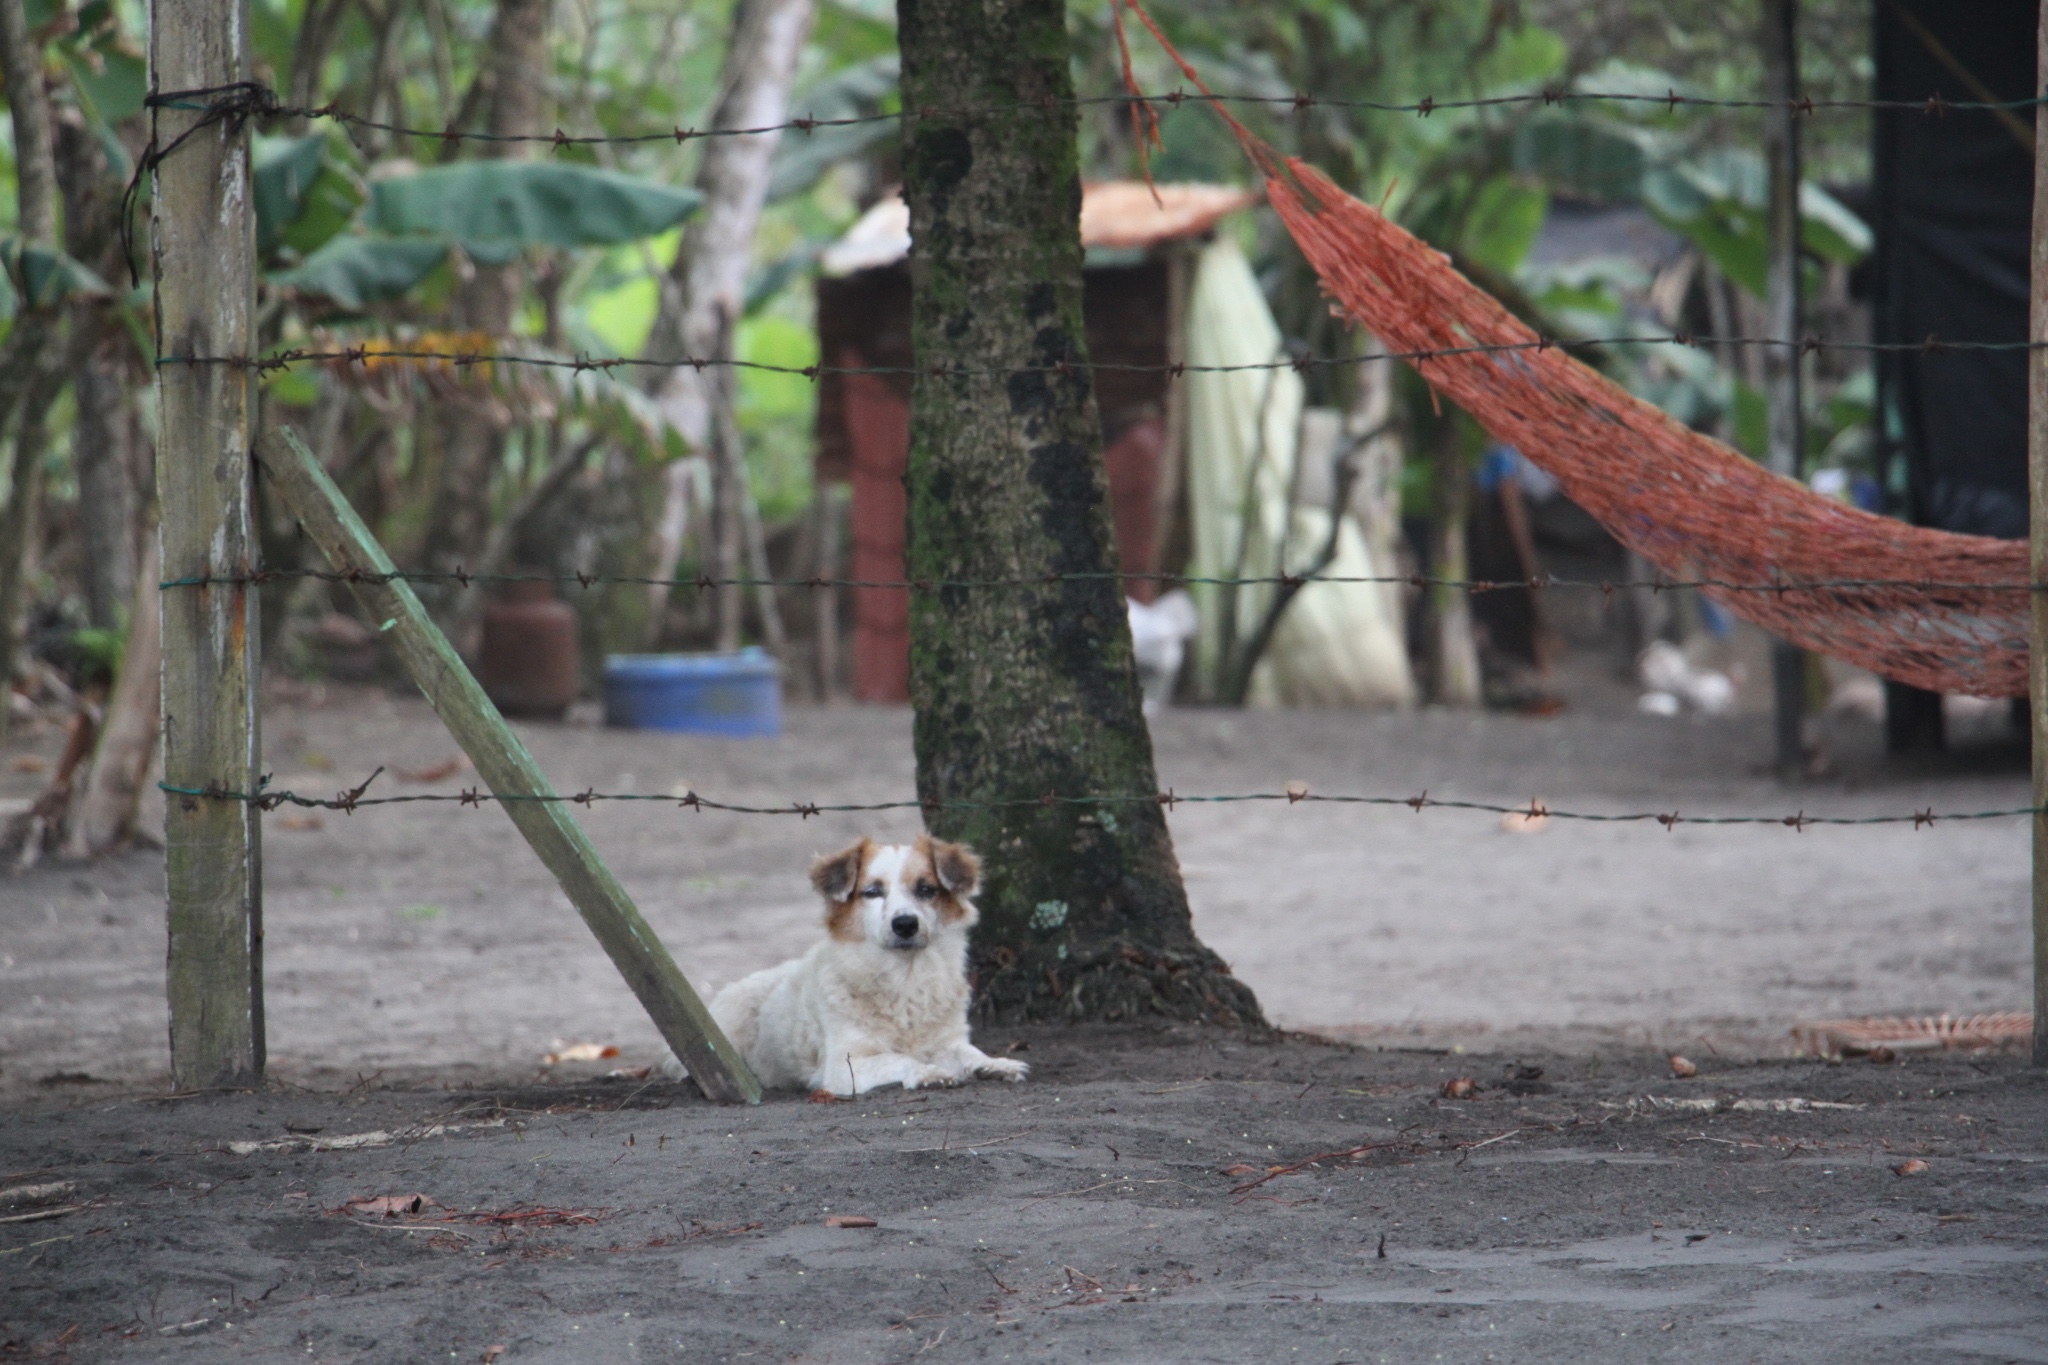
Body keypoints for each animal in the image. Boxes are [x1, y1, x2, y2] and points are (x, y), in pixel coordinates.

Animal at [663, 834, 1032, 1096]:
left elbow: (969, 1053)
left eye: (926, 889)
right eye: (873, 892)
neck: (905, 979)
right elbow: (898, 1058)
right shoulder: (844, 1066)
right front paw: (927, 1071)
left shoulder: (948, 1040)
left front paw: (994, 1064)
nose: (905, 924)